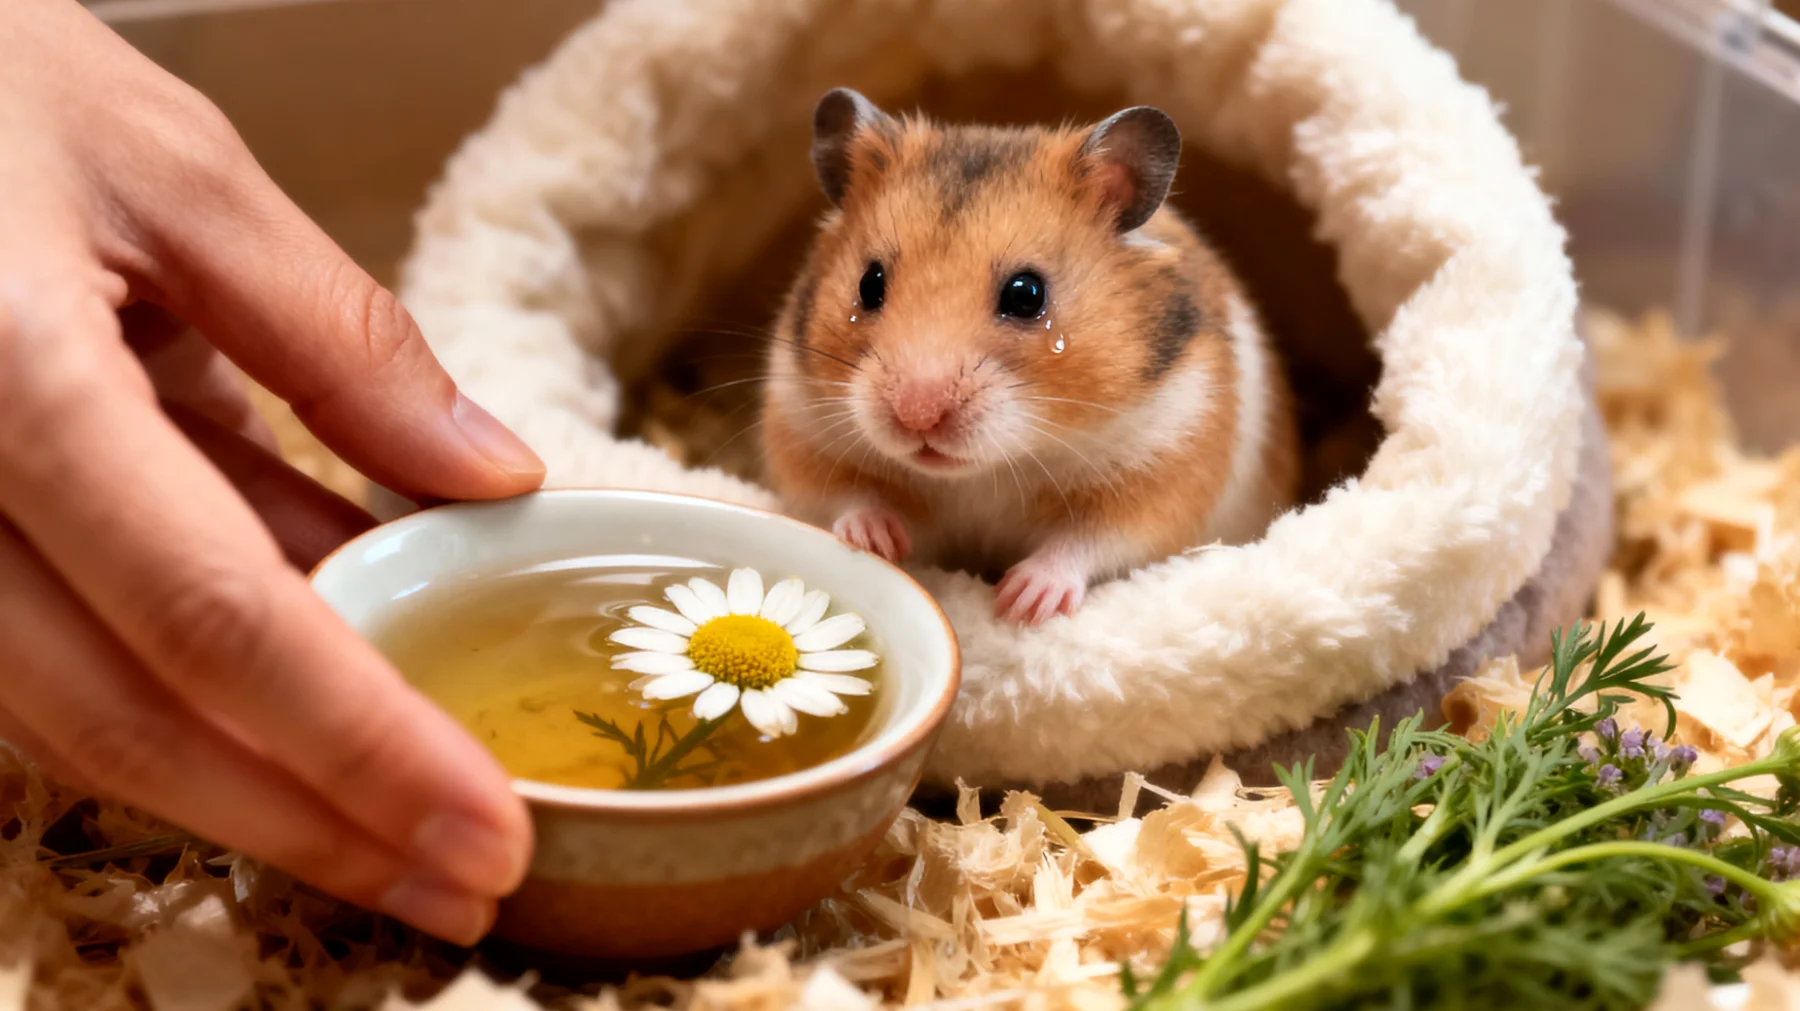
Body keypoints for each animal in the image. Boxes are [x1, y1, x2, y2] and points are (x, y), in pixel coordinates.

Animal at [760, 88, 1300, 625]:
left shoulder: (1167, 464)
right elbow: (847, 497)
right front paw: (877, 542)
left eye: (1027, 294)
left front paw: (1020, 603)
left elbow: (1086, 542)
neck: (988, 469)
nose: (918, 417)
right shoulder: (805, 433)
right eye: (869, 284)